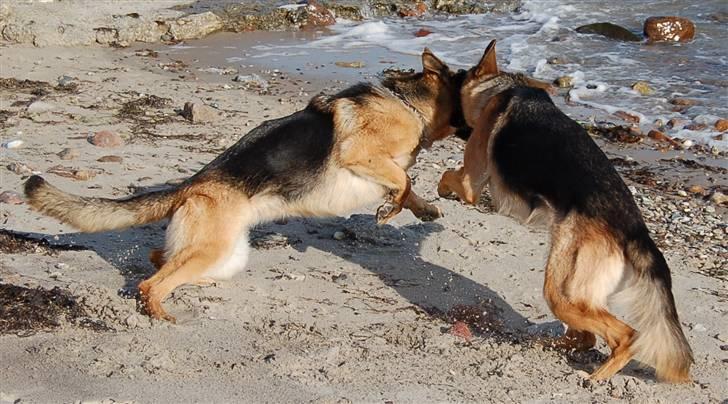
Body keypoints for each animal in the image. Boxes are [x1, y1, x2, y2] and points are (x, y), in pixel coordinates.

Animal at [28, 49, 464, 324]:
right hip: (213, 248)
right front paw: (391, 208)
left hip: (225, 253)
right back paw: (160, 313)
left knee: (159, 259)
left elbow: (409, 184)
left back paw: (189, 285)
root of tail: (193, 185)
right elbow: (405, 179)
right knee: (150, 282)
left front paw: (421, 208)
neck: (408, 103)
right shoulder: (360, 154)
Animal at [438, 40, 692, 382]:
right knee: (585, 337)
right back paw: (550, 346)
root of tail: (635, 229)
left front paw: (439, 191)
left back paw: (595, 378)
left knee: (624, 336)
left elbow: (449, 176)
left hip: (562, 290)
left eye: (456, 79)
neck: (501, 88)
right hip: (573, 290)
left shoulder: (471, 182)